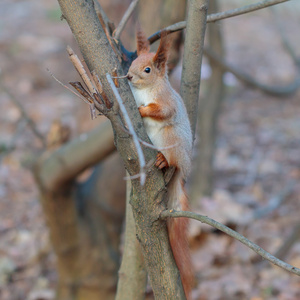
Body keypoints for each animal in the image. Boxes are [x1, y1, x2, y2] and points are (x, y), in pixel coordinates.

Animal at [127, 29, 195, 298]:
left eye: (147, 69)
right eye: (132, 60)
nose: (128, 76)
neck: (145, 90)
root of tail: (182, 170)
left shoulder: (166, 102)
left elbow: (162, 111)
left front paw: (142, 110)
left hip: (170, 139)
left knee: (171, 160)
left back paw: (163, 160)